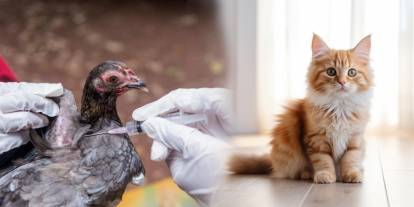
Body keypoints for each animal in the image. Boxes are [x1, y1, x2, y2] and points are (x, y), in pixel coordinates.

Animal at [228, 34, 374, 184]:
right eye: (331, 72)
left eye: (352, 72)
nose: (342, 82)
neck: (339, 107)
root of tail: (272, 163)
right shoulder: (316, 140)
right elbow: (324, 161)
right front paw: (325, 175)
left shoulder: (355, 139)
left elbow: (350, 160)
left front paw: (352, 174)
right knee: (293, 172)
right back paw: (307, 174)